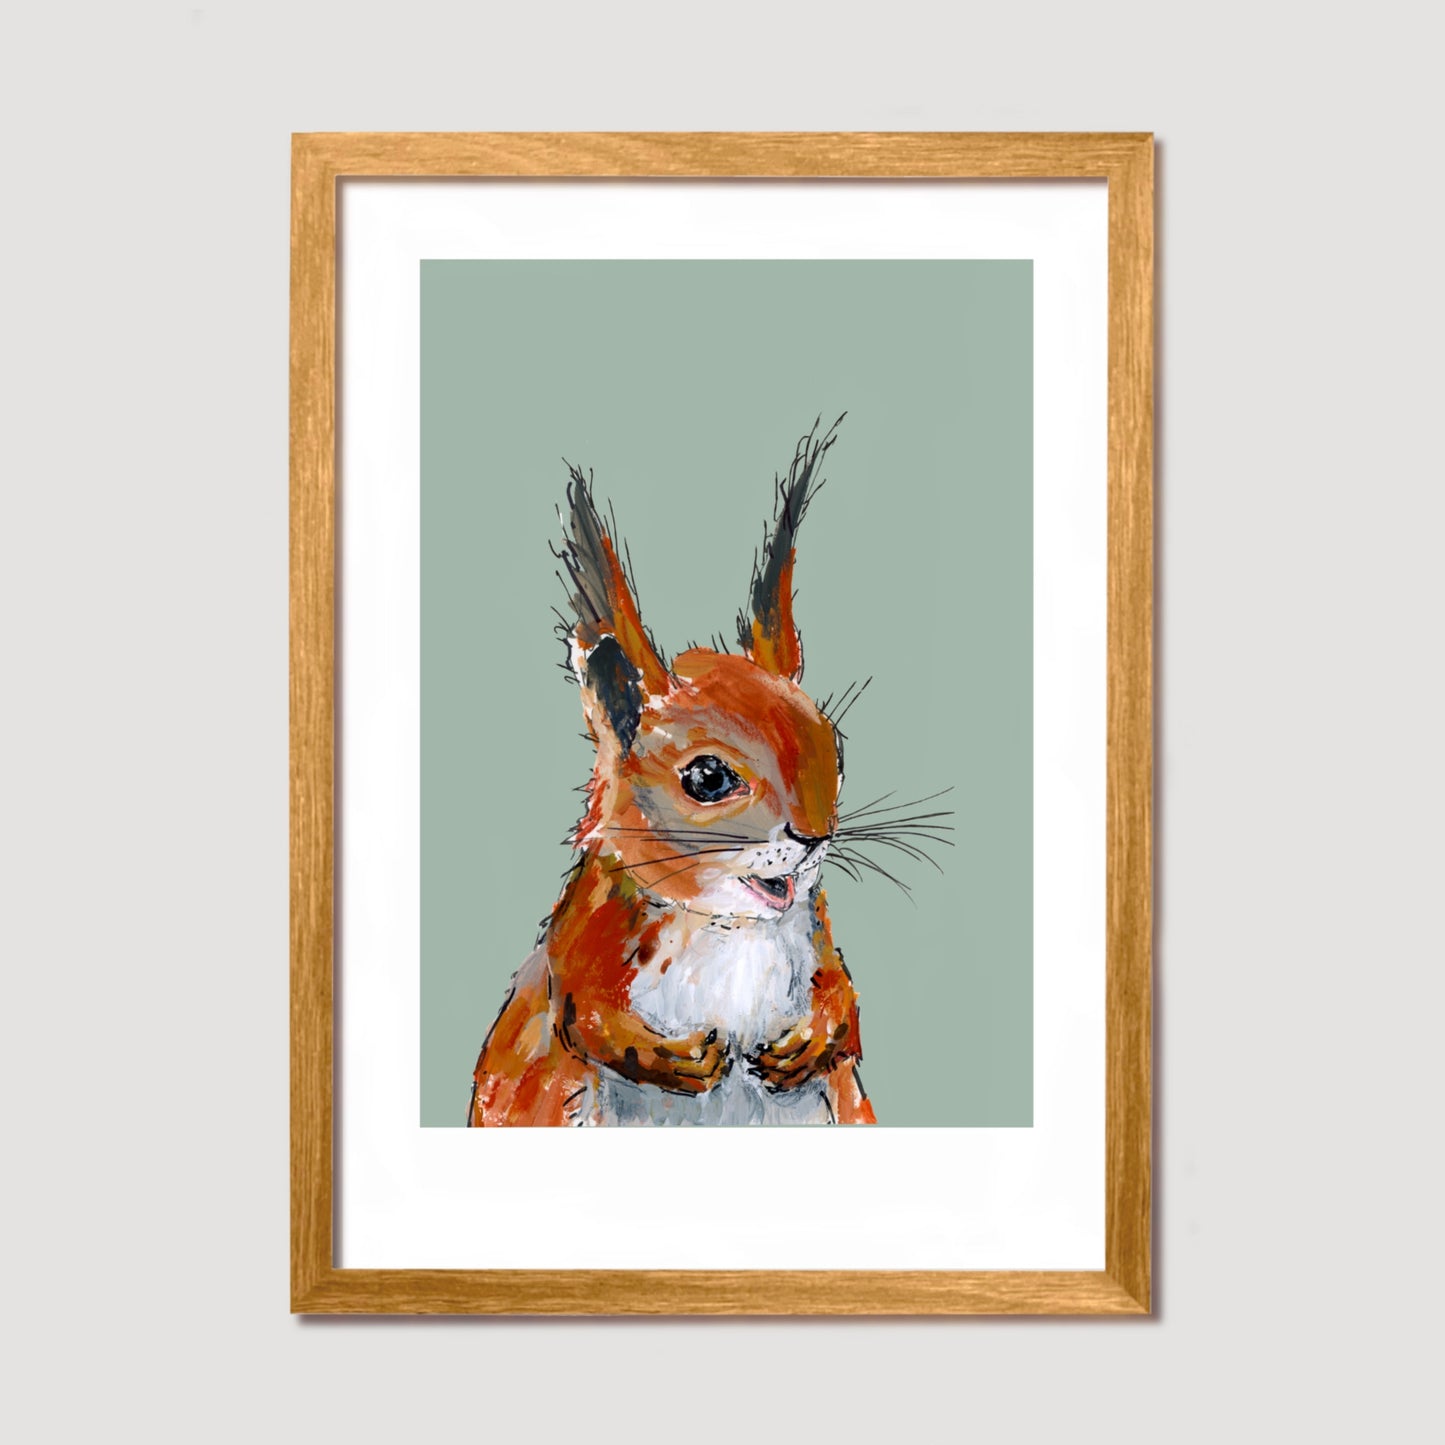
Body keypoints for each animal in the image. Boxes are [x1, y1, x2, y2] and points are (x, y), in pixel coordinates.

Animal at [469, 417, 877, 1126]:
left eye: (836, 749)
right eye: (707, 779)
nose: (814, 837)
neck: (725, 923)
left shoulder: (815, 925)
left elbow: (844, 1000)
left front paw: (809, 1040)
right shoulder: (586, 927)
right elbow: (583, 1012)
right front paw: (673, 1058)